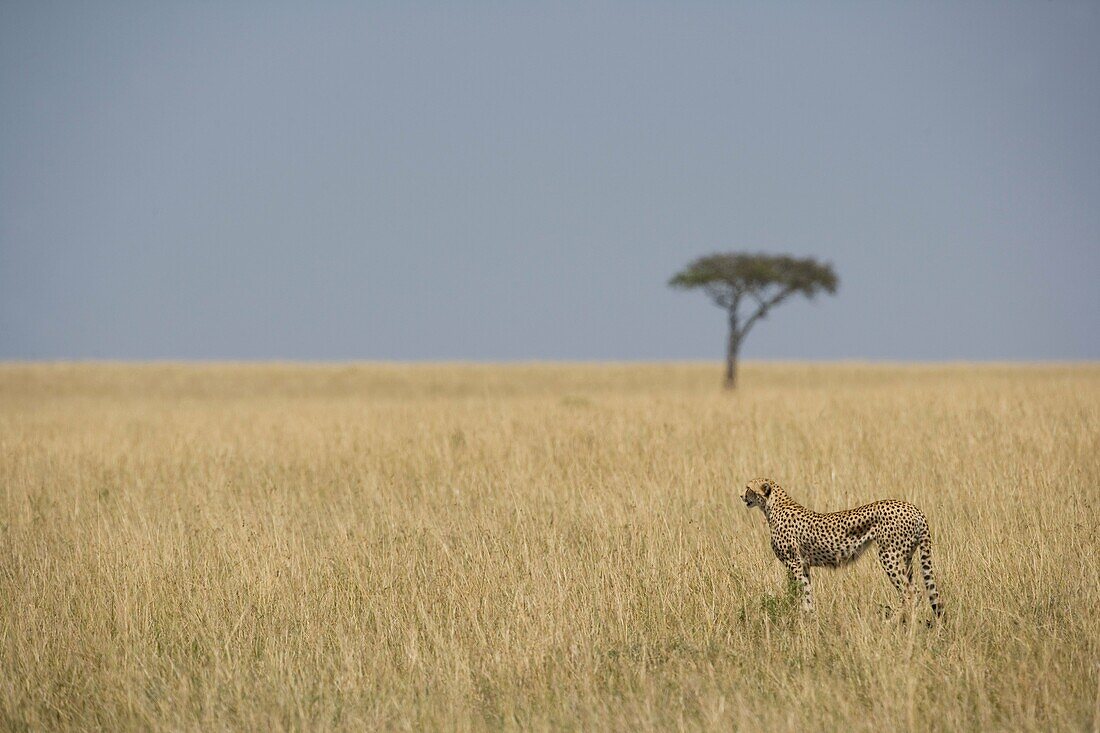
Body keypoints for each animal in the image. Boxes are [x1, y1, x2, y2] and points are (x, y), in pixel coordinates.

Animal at [739, 473, 946, 616]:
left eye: (748, 488)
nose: (741, 495)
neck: (773, 505)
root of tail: (914, 508)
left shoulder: (794, 563)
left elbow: (801, 591)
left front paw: (802, 617)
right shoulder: (804, 565)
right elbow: (808, 592)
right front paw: (810, 617)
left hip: (889, 556)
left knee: (911, 593)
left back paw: (894, 620)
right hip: (907, 557)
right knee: (916, 590)